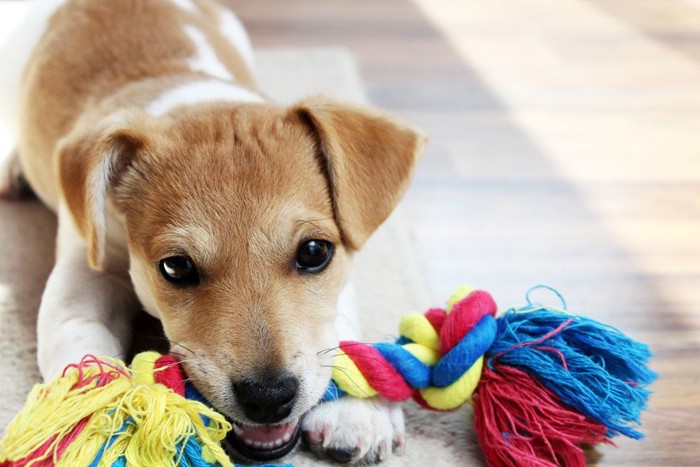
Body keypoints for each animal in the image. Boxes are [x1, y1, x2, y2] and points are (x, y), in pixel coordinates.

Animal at [0, 0, 426, 462]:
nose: (269, 397)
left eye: (314, 252)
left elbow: (339, 321)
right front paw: (99, 420)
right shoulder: (83, 272)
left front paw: (355, 409)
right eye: (176, 267)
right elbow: (80, 342)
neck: (196, 99)